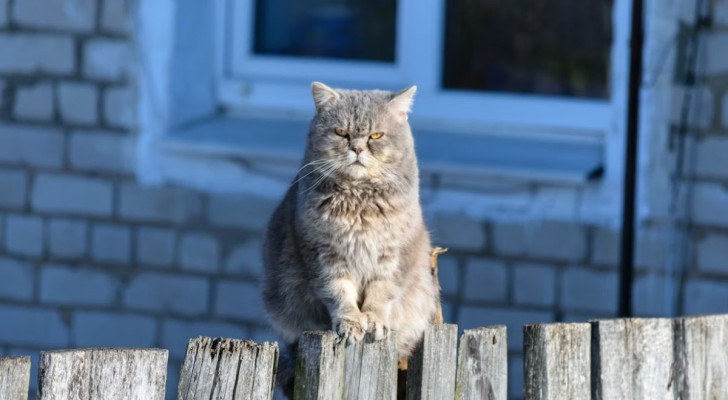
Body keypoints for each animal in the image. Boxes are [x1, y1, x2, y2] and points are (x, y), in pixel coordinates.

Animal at [264, 82, 440, 396]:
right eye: (341, 133)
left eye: (376, 135)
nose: (357, 148)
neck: (359, 199)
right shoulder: (323, 256)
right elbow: (339, 293)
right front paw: (351, 322)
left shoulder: (393, 258)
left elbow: (381, 294)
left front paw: (373, 319)